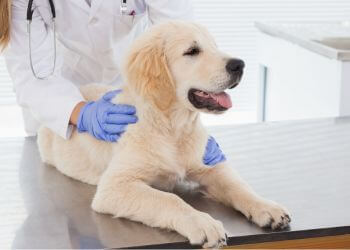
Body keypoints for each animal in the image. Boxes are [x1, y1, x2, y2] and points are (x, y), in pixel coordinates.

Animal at [37, 21, 292, 248]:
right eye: (192, 51)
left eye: (214, 46)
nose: (239, 64)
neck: (173, 128)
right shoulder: (114, 186)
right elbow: (169, 199)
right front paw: (202, 222)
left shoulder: (209, 167)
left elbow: (237, 185)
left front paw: (266, 207)